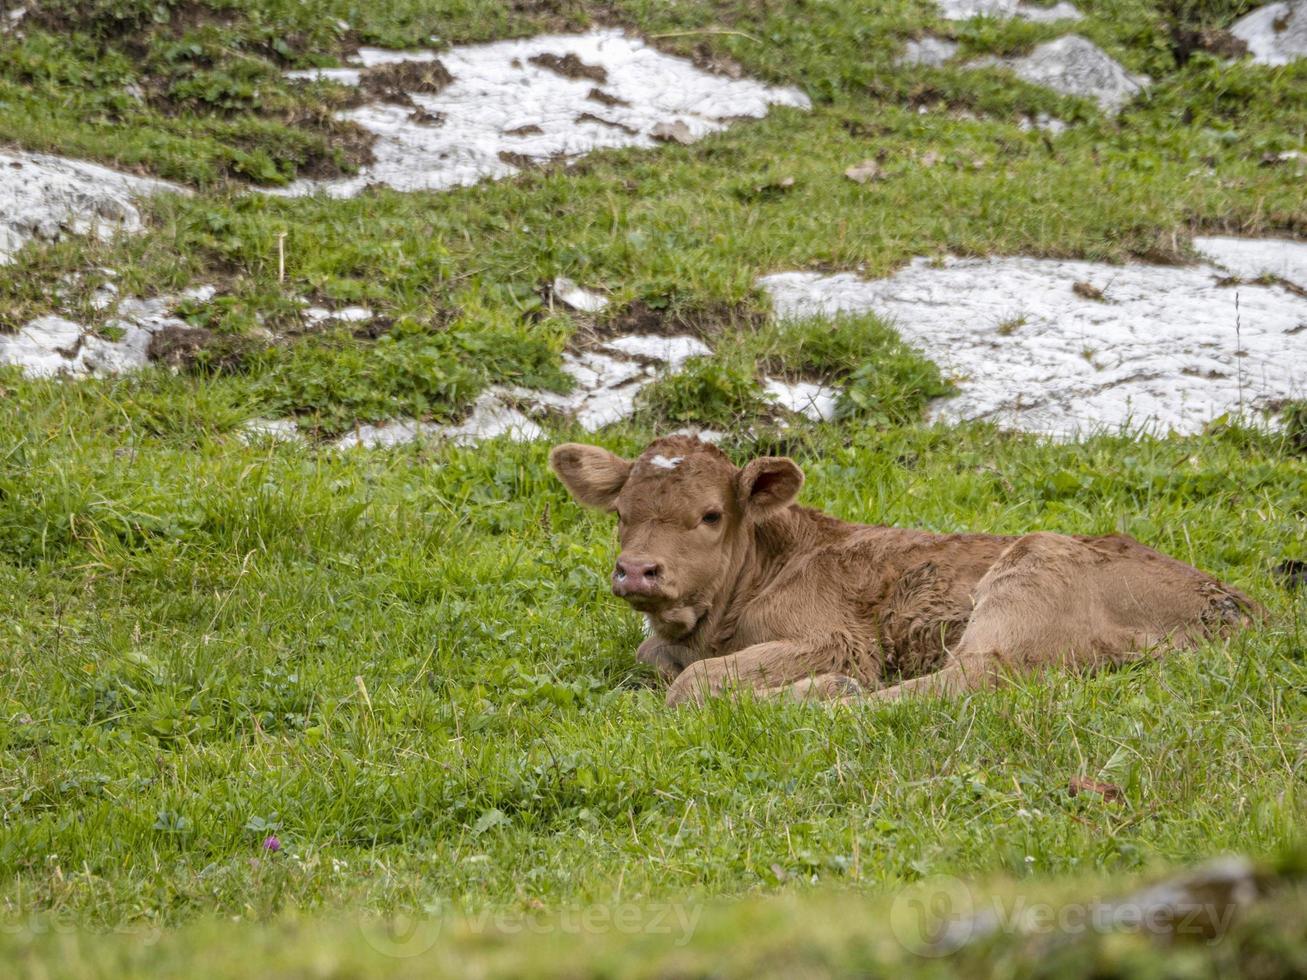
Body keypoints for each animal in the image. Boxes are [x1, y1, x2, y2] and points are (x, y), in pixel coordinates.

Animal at [548, 436, 1254, 705]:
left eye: (711, 515)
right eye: (621, 513)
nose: (637, 571)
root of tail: (1234, 607)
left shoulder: (837, 637)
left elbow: (691, 683)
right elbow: (652, 656)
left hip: (1029, 579)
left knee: (950, 687)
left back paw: (829, 693)